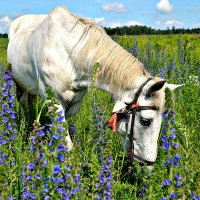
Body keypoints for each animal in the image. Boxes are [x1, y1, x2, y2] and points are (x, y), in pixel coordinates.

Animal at [7, 6, 181, 166]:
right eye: (146, 121)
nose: (148, 163)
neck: (70, 55)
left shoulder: (75, 102)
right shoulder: (53, 101)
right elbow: (66, 140)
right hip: (19, 84)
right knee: (24, 106)